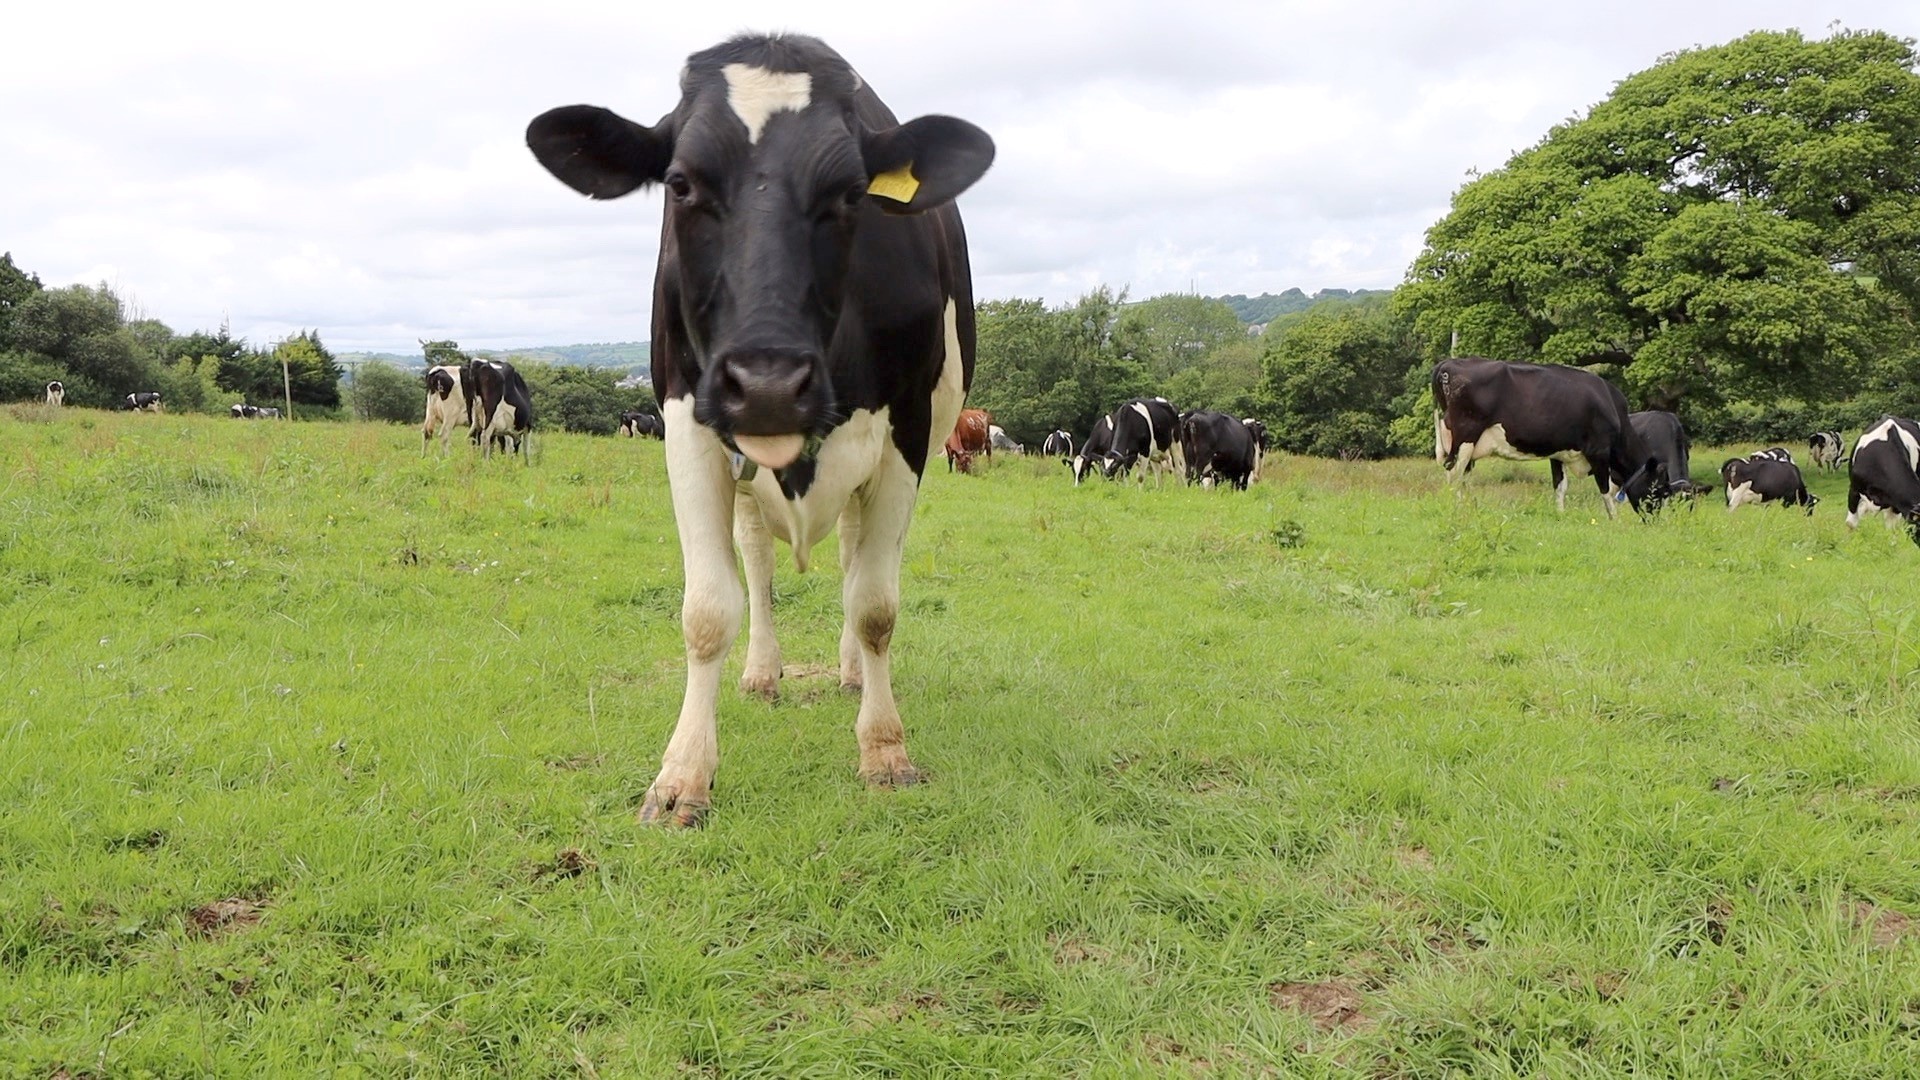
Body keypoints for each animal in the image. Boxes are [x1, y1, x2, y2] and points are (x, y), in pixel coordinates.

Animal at [527, 32, 993, 825]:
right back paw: (763, 672)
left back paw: (848, 671)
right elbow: (710, 608)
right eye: (679, 183)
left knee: (853, 560)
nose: (769, 385)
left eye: (852, 193)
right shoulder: (687, 423)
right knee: (760, 564)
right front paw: (682, 776)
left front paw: (885, 750)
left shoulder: (907, 434)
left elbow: (875, 605)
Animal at [1432, 357, 1663, 517]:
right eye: (1660, 487)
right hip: (1465, 435)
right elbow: (1605, 489)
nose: (1656, 519)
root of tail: (1448, 364)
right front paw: (1614, 519)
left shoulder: (1559, 453)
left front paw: (1560, 515)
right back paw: (1455, 509)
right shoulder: (1599, 451)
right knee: (1453, 473)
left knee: (1461, 477)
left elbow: (1560, 487)